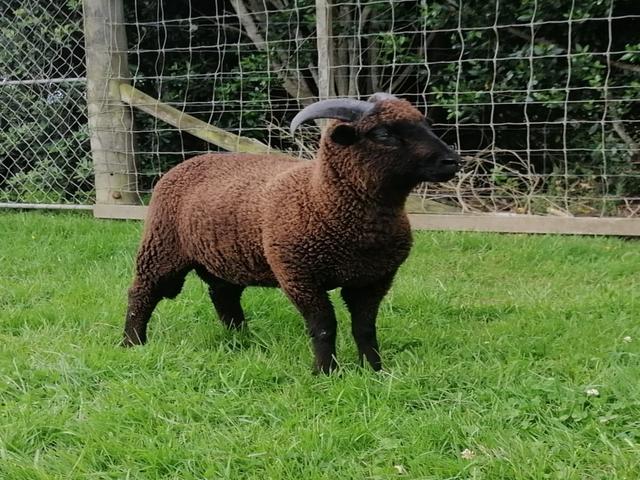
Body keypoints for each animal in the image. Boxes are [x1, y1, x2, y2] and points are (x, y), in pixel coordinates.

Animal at [123, 93, 461, 373]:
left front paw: (374, 369)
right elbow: (324, 325)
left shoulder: (374, 279)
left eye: (426, 124)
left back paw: (241, 339)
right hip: (161, 247)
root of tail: (192, 160)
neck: (320, 196)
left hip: (223, 256)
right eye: (383, 133)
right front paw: (325, 372)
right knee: (142, 292)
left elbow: (365, 327)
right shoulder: (299, 276)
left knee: (223, 295)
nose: (452, 161)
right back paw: (132, 343)